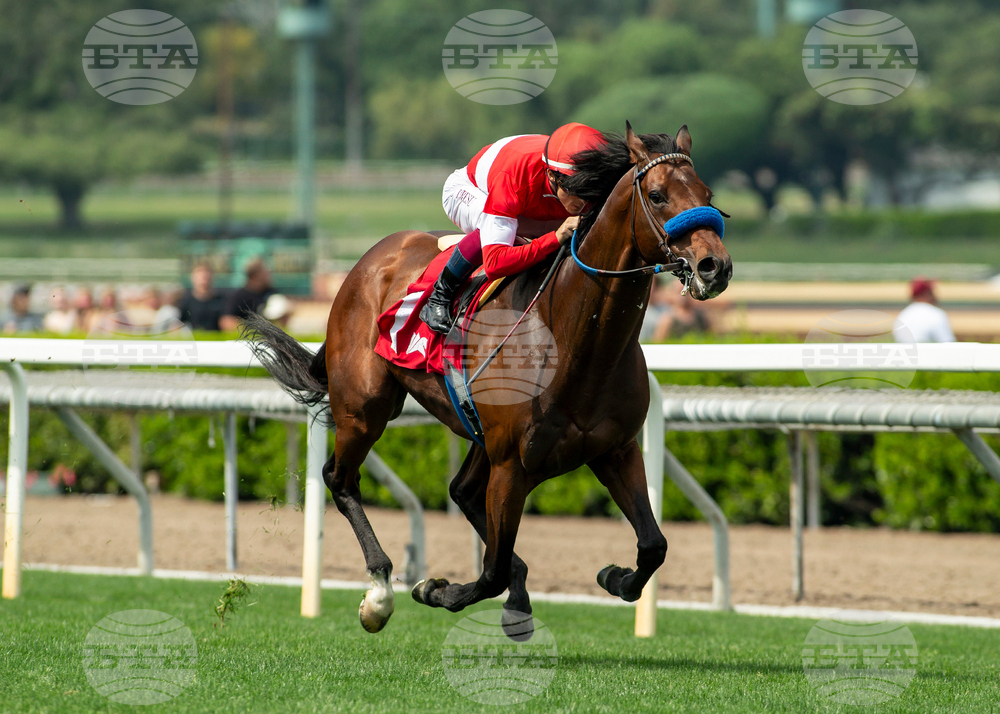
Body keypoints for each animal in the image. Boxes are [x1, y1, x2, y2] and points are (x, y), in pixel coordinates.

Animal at [242, 122, 732, 636]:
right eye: (657, 196)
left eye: (708, 195)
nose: (714, 266)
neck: (576, 342)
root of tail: (368, 260)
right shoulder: (512, 464)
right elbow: (490, 570)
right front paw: (435, 590)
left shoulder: (615, 450)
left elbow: (653, 545)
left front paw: (615, 577)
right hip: (364, 407)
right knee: (339, 478)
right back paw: (379, 593)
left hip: (474, 430)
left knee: (460, 491)